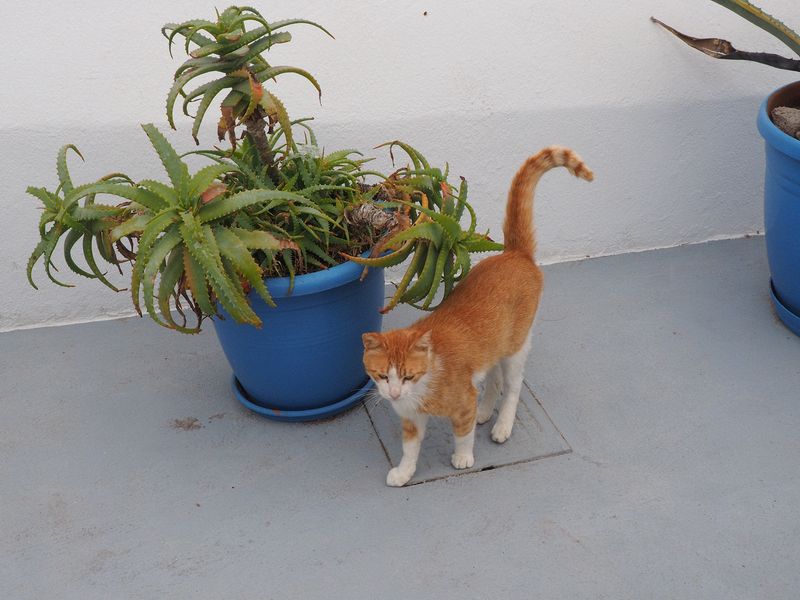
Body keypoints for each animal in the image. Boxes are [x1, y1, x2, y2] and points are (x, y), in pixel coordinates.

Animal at [362, 146, 592, 488]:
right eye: (381, 376)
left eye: (407, 377)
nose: (393, 394)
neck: (423, 387)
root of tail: (515, 253)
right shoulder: (412, 419)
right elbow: (410, 448)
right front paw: (404, 473)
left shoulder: (462, 402)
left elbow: (463, 433)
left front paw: (463, 457)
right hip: (494, 344)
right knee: (493, 379)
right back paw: (485, 411)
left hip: (515, 348)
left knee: (512, 385)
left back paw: (502, 425)